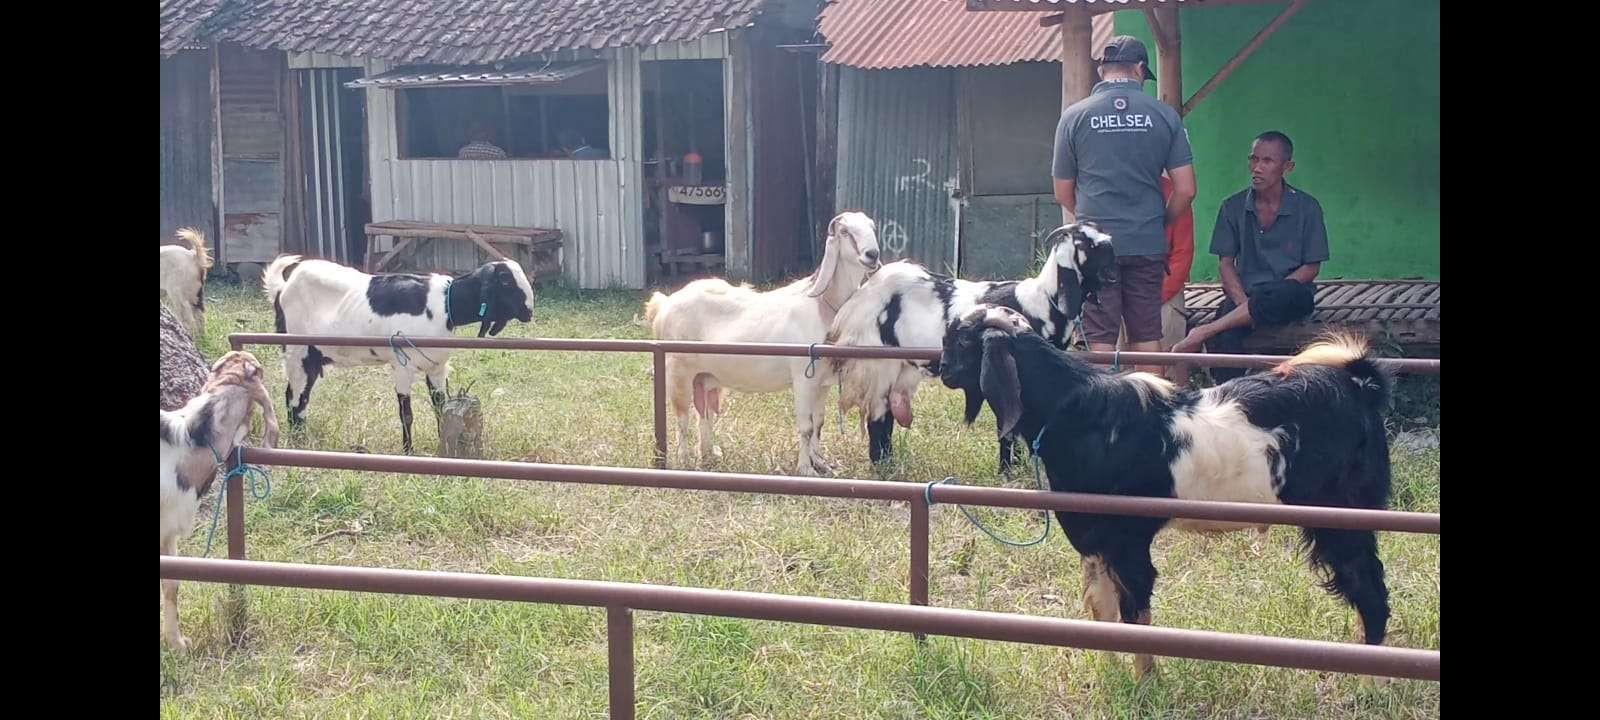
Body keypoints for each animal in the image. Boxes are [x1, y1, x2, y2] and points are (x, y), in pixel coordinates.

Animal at [262, 256, 537, 454]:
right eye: (505, 281)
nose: (529, 311)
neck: (445, 305)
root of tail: (282, 287)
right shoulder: (402, 366)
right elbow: (407, 414)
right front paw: (408, 451)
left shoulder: (436, 367)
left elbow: (440, 408)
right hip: (297, 352)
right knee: (294, 398)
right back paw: (297, 442)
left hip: (312, 358)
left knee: (301, 399)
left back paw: (301, 440)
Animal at [640, 211, 889, 476]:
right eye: (845, 232)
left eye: (872, 227)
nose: (872, 255)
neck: (822, 306)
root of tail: (664, 305)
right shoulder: (803, 378)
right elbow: (806, 426)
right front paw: (805, 469)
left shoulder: (823, 383)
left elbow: (819, 423)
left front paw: (821, 463)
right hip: (678, 371)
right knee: (683, 418)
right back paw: (684, 461)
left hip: (704, 377)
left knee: (704, 414)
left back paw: (709, 456)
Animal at [825, 227, 1113, 473]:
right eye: (1089, 245)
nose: (1113, 274)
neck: (1041, 301)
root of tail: (857, 302)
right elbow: (1007, 425)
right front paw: (1007, 472)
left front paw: (1017, 466)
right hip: (878, 363)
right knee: (877, 418)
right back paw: (882, 467)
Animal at [940, 305, 1395, 681]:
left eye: (962, 340)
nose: (940, 368)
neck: (1074, 414)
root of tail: (1359, 383)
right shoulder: (1093, 537)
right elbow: (1100, 605)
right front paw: (1109, 672)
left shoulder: (1127, 538)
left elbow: (1134, 613)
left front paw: (1145, 684)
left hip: (1344, 514)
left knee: (1369, 588)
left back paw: (1370, 681)